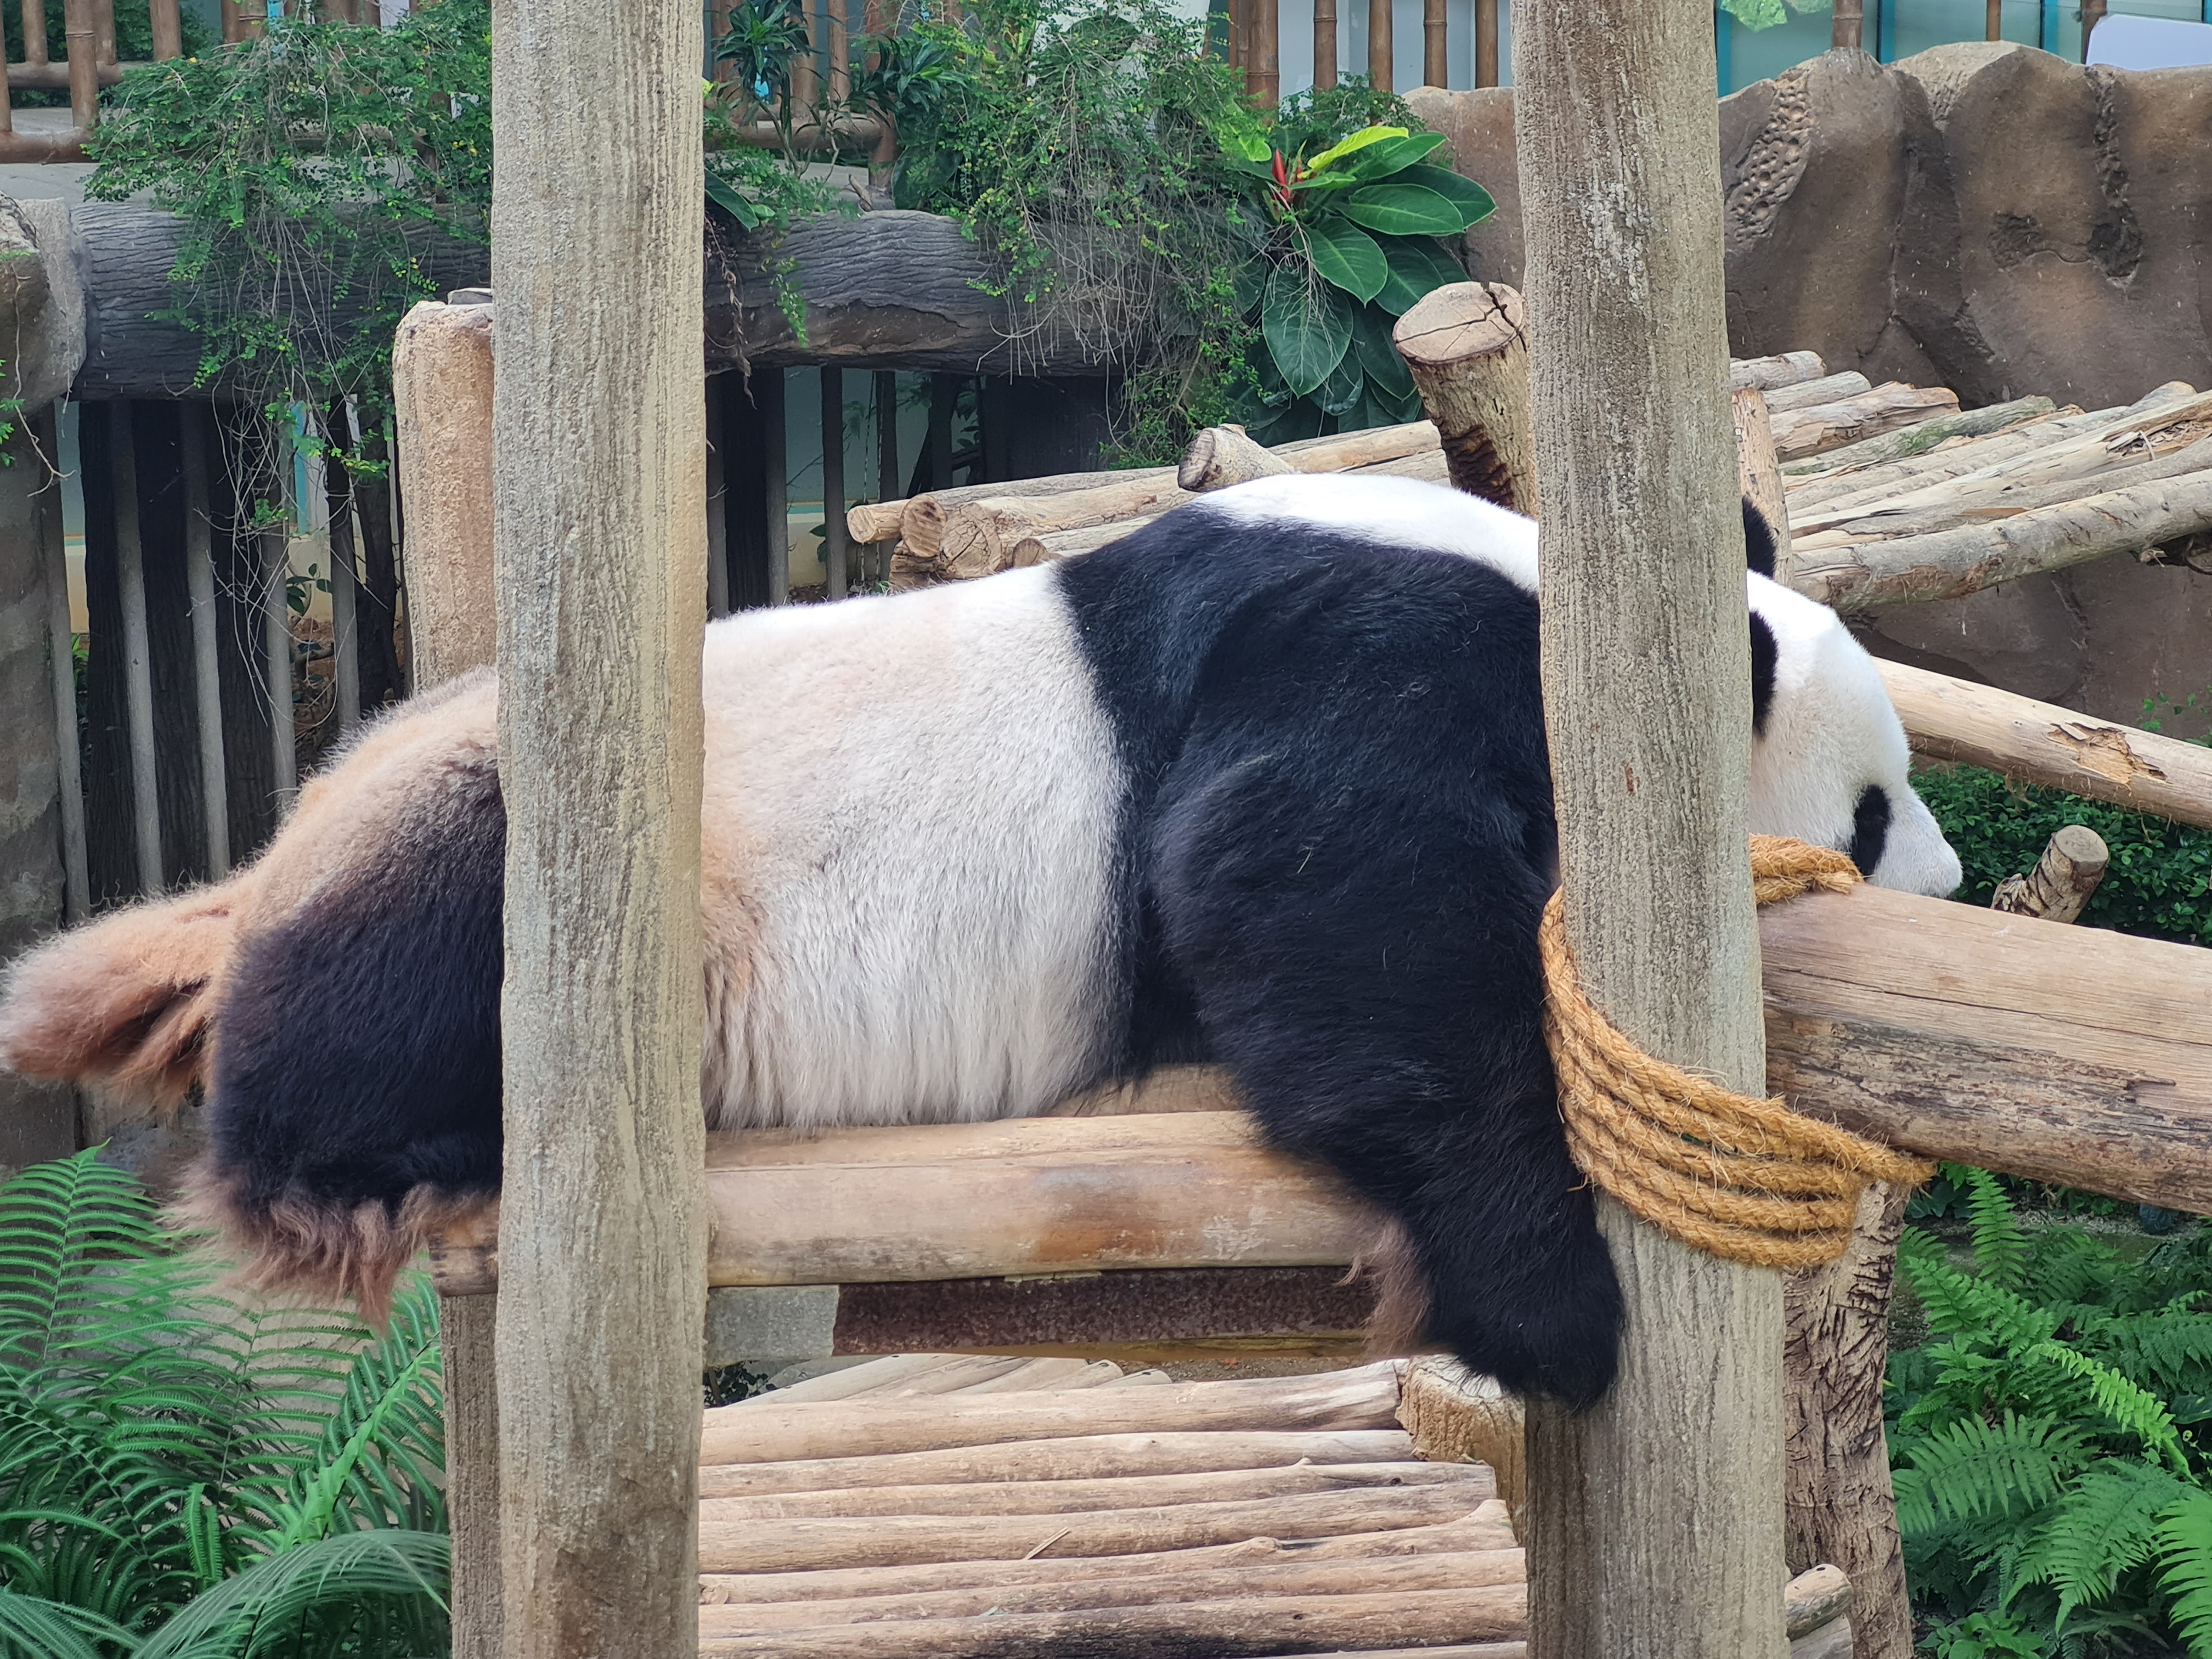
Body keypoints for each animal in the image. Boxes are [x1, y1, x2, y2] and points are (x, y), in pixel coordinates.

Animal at [0, 474, 1960, 1409]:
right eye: (1872, 809)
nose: (1947, 883)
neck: (1557, 597)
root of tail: (261, 868)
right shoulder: (1357, 652)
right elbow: (1315, 887)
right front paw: (1550, 1308)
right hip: (548, 856)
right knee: (417, 950)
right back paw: (359, 1166)